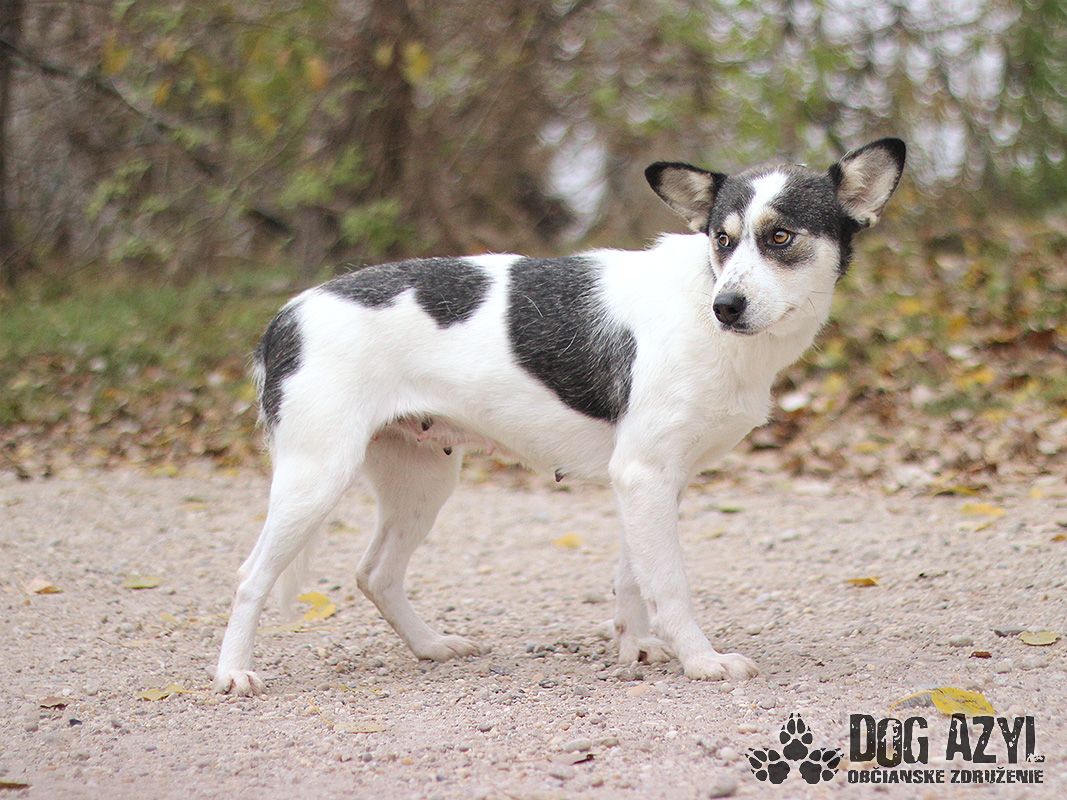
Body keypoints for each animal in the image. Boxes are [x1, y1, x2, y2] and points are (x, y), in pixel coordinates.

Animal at [213, 138, 905, 695]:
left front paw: (635, 650)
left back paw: (431, 647)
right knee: (249, 576)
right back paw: (233, 673)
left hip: (423, 482)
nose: (726, 306)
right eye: (722, 240)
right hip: (317, 478)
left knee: (375, 574)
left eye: (780, 237)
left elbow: (634, 581)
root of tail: (285, 316)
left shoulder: (650, 482)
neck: (700, 299)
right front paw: (701, 661)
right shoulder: (645, 476)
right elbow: (670, 587)